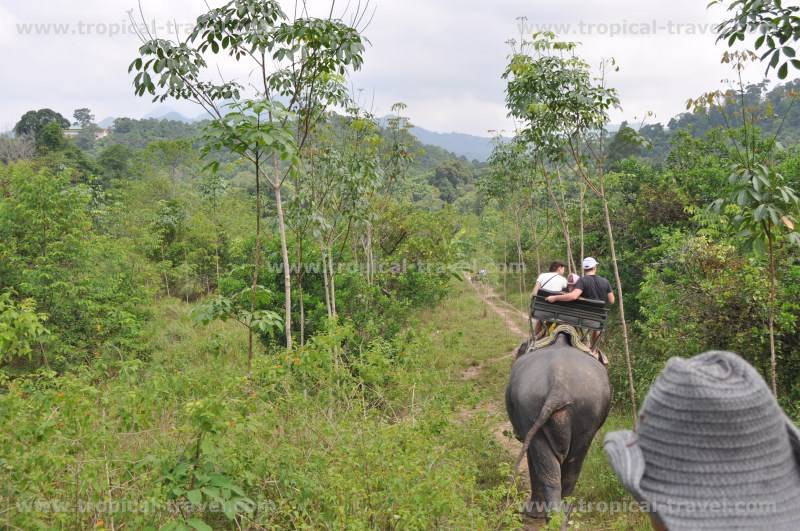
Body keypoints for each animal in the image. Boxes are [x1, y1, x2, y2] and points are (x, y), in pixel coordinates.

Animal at [506, 332, 612, 520]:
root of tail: (558, 387)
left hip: (530, 407)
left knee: (545, 464)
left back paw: (545, 516)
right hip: (587, 411)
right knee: (573, 463)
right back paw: (563, 515)